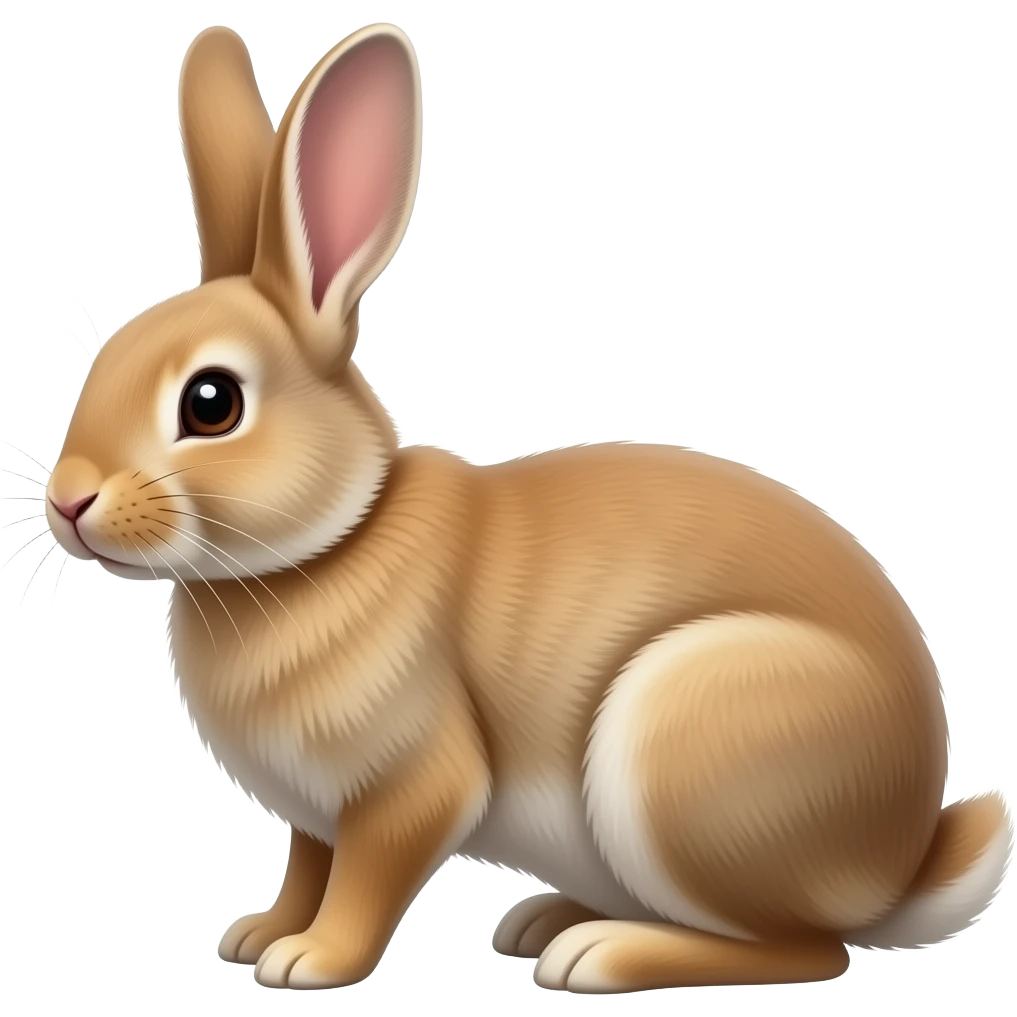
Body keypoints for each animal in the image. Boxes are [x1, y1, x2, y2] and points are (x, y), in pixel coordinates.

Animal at [43, 22, 1012, 994]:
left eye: (212, 402)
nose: (67, 500)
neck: (331, 542)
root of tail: (899, 860)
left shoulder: (408, 789)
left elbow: (364, 879)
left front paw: (311, 960)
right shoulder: (315, 814)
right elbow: (308, 866)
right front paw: (259, 933)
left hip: (685, 746)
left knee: (808, 947)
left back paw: (596, 952)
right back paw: (548, 919)